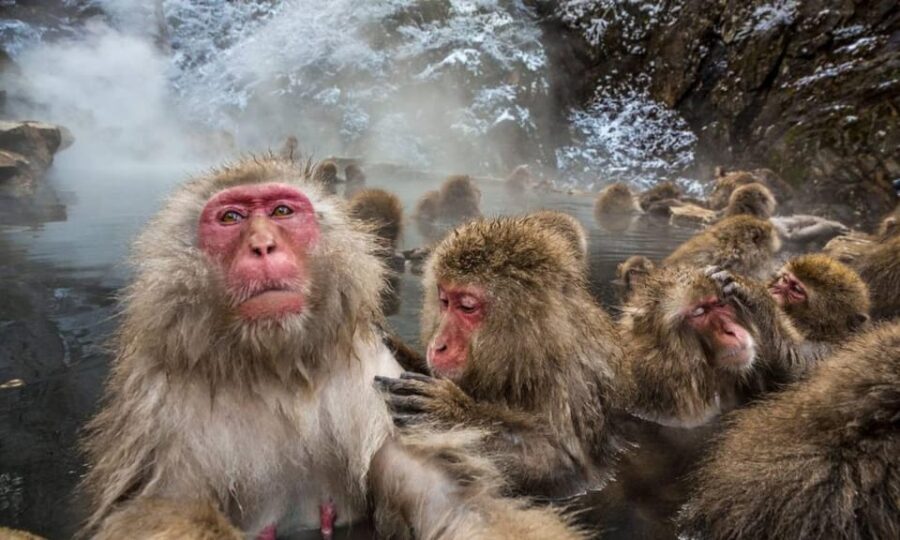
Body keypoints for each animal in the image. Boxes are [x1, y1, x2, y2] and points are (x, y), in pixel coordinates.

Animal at [79, 157, 583, 539]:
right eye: (230, 219)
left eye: (282, 211)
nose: (262, 246)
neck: (277, 368)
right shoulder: (159, 406)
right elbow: (163, 507)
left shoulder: (375, 383)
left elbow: (450, 498)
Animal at [376, 216, 624, 499]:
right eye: (444, 300)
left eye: (467, 307)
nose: (437, 346)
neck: (534, 354)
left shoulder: (569, 385)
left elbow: (566, 468)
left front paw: (452, 415)